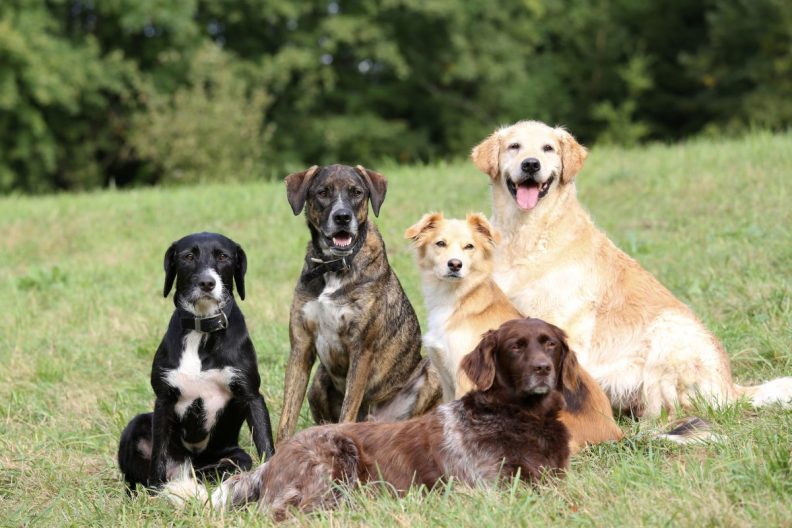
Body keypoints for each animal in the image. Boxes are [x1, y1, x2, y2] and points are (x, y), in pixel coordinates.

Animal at [117, 233, 276, 488]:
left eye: (223, 256)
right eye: (188, 256)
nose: (207, 283)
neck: (201, 330)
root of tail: (190, 463)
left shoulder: (251, 395)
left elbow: (265, 444)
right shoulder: (164, 400)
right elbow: (158, 455)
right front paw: (157, 489)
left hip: (234, 456)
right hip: (137, 425)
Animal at [169, 318, 568, 520]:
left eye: (550, 344)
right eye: (515, 346)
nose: (542, 369)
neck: (518, 418)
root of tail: (273, 461)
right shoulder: (486, 489)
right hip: (334, 462)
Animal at [276, 164, 440, 442]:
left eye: (357, 193)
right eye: (322, 192)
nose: (342, 217)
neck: (334, 266)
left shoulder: (361, 349)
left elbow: (347, 412)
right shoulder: (301, 347)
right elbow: (286, 421)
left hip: (432, 373)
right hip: (318, 381)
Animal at [470, 119, 792, 416]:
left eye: (547, 148)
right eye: (515, 146)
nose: (531, 164)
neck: (527, 234)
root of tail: (731, 387)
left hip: (668, 334)